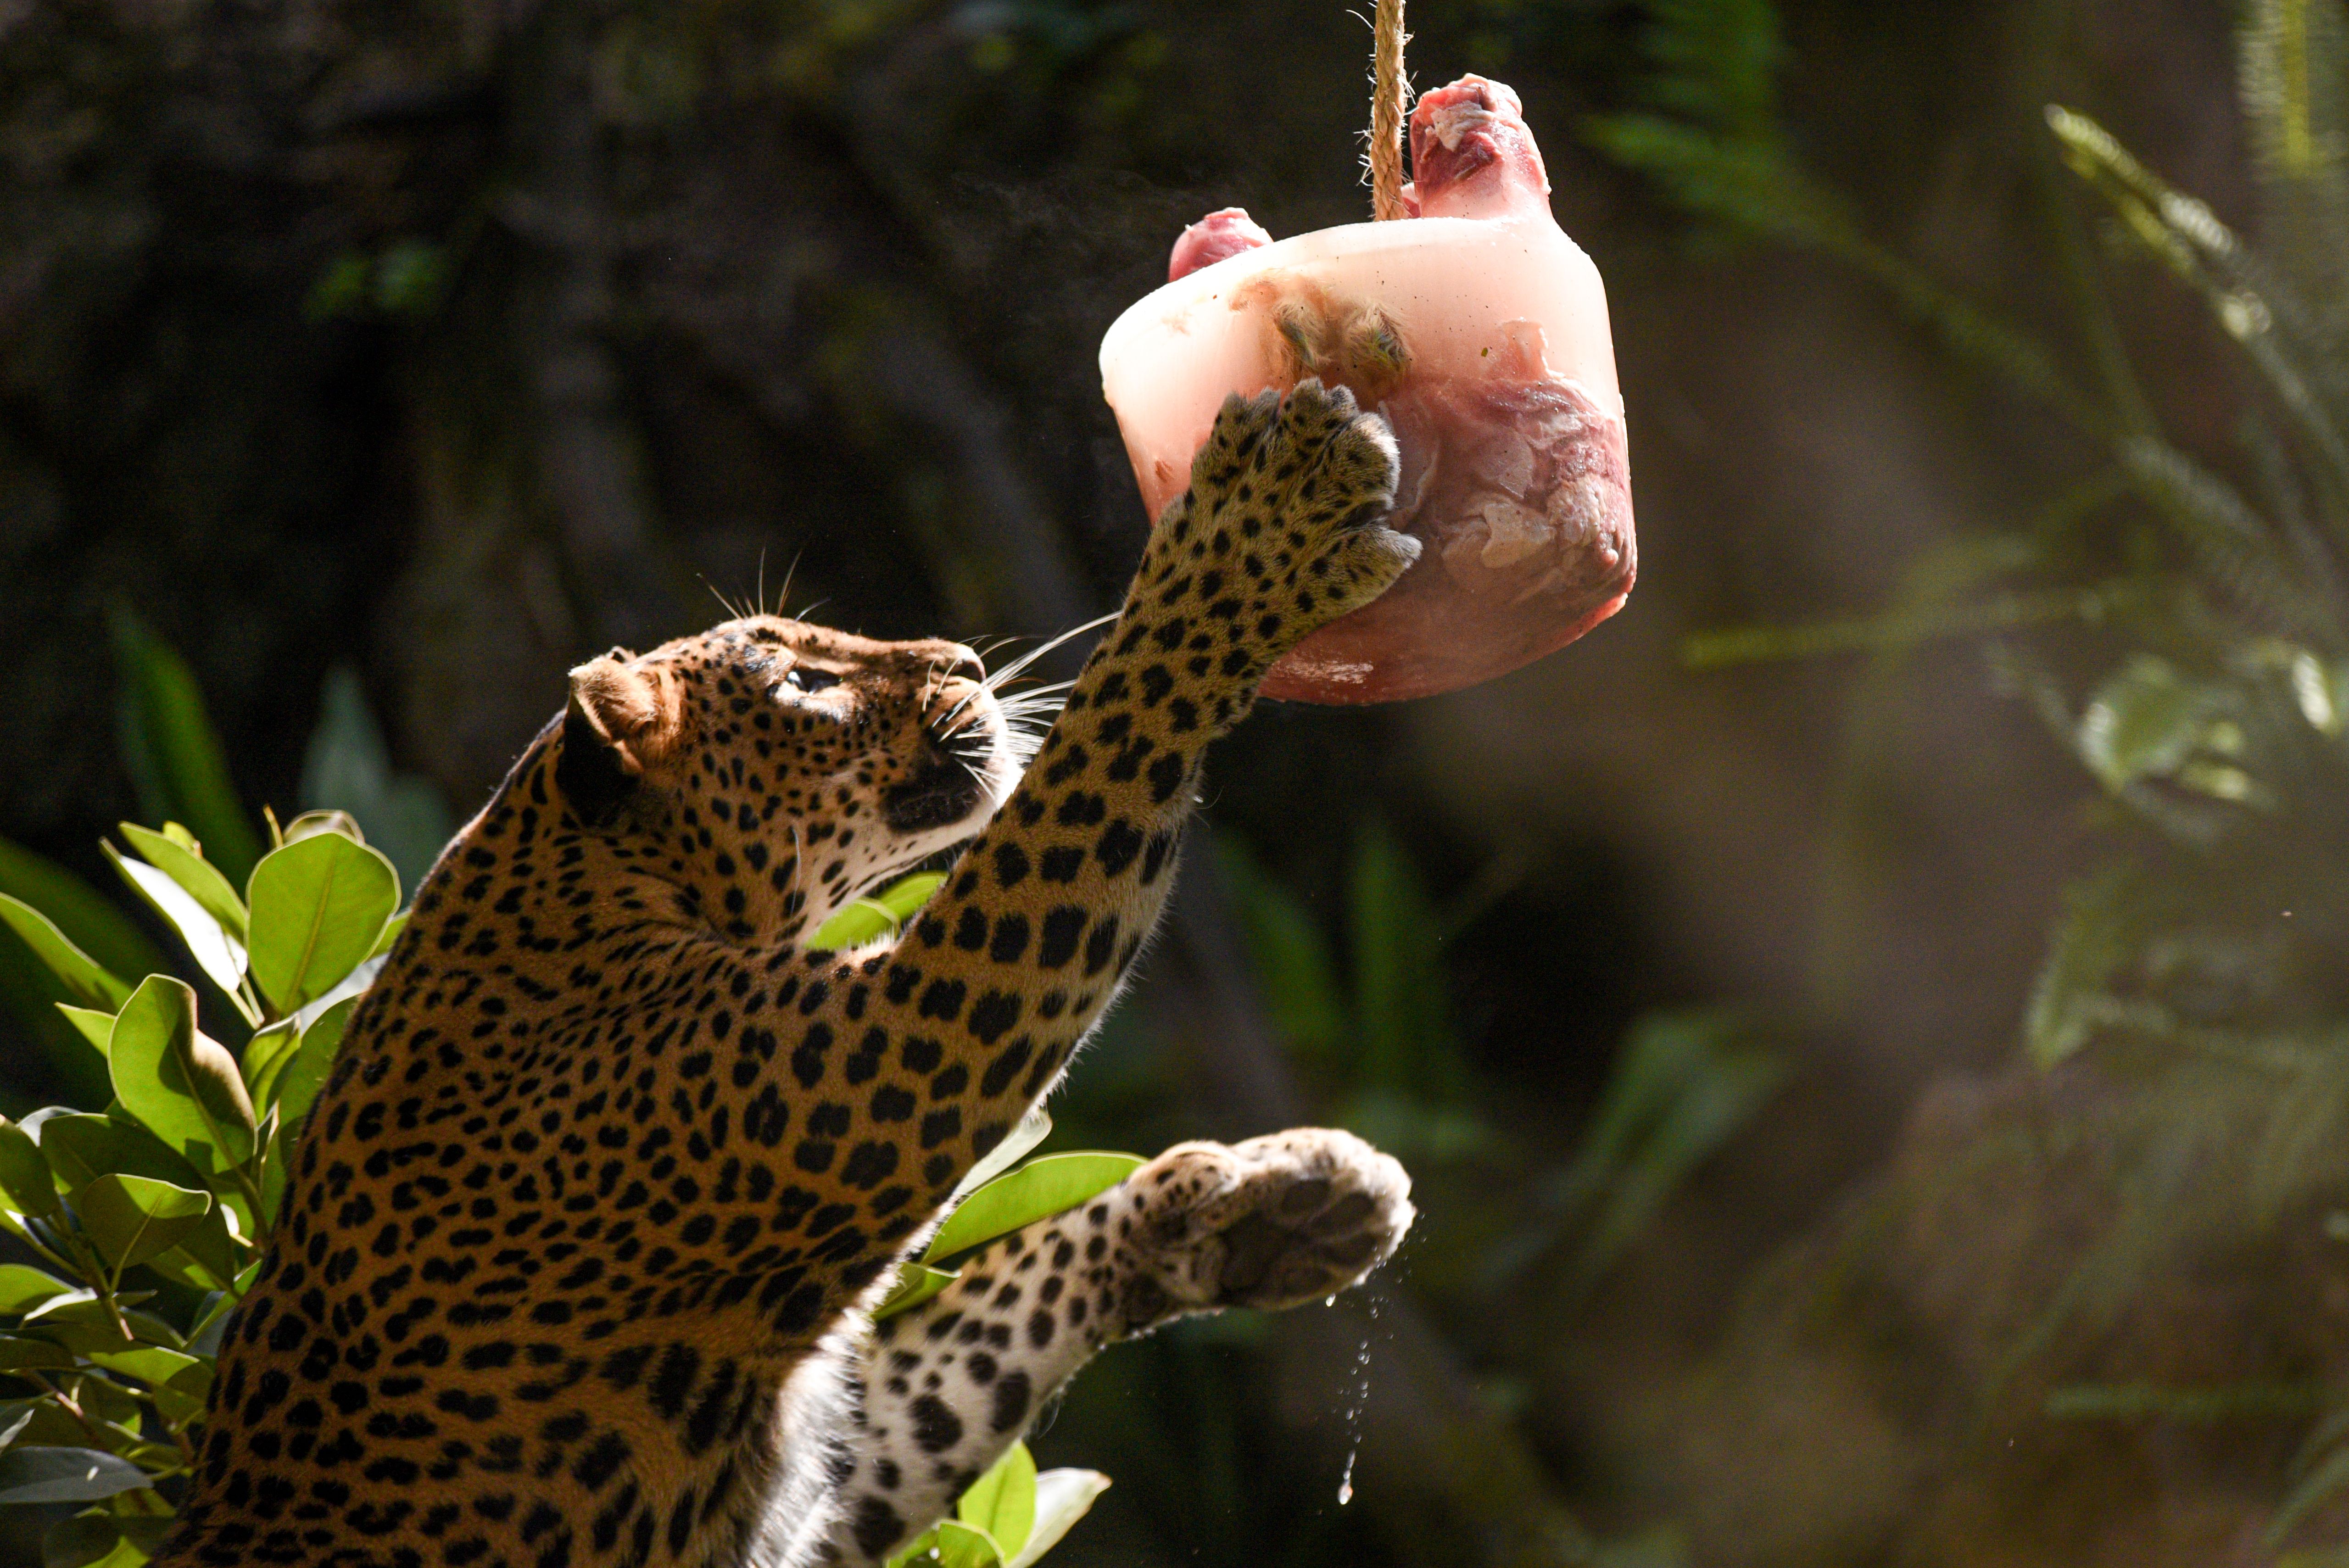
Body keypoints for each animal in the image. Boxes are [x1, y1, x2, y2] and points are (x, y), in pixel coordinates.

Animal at [155, 380, 1421, 1568]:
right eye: (801, 684)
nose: (966, 658)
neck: (599, 892)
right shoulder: (889, 1056)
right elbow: (1115, 730)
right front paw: (1256, 527)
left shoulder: (820, 1469)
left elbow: (983, 1332)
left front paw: (1274, 1206)